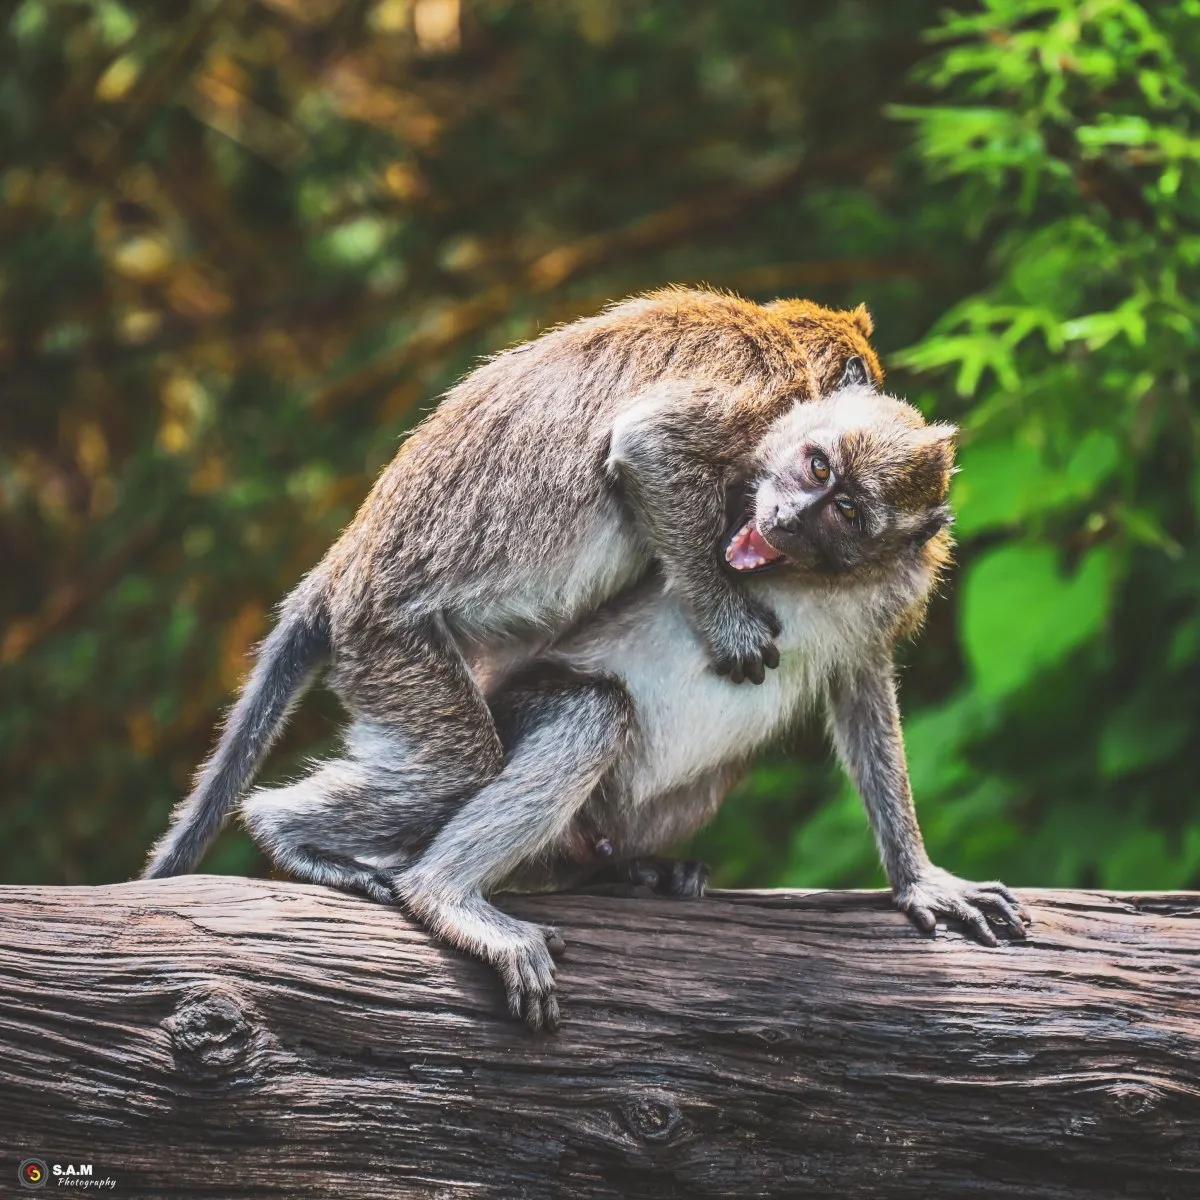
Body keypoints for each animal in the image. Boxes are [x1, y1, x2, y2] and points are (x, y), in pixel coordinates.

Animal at [143, 287, 881, 882]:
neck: (778, 335)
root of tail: (342, 570)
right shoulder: (763, 389)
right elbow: (650, 446)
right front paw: (725, 621)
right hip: (386, 640)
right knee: (458, 767)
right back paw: (285, 833)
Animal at [232, 381, 1029, 1031]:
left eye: (847, 510)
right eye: (818, 466)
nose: (791, 516)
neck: (813, 579)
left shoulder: (889, 596)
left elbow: (864, 698)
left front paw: (920, 879)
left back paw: (628, 873)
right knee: (586, 717)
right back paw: (411, 882)